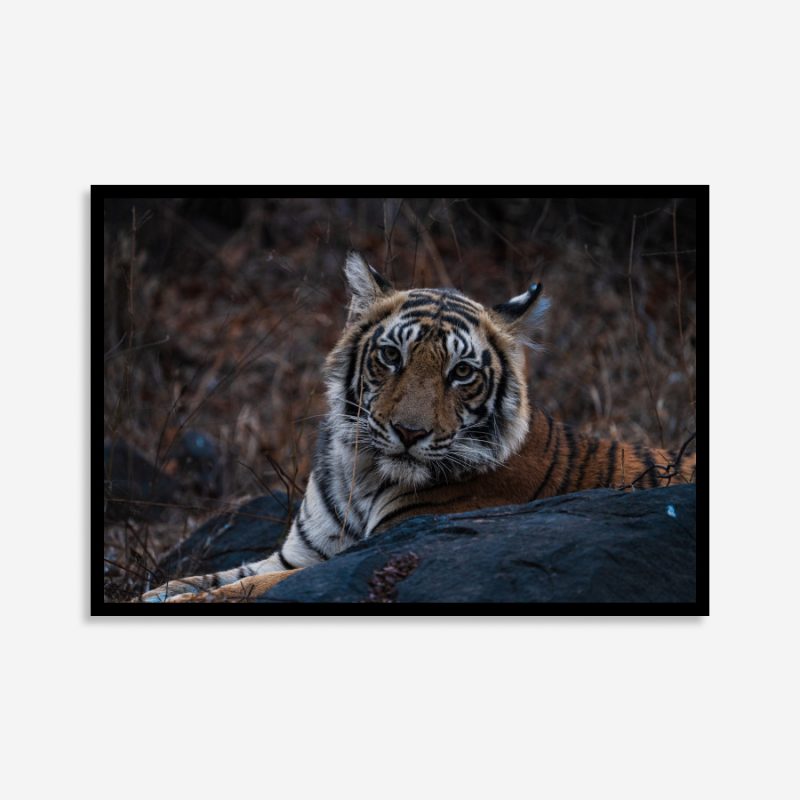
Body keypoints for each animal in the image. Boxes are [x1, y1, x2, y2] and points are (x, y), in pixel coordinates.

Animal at [141, 252, 696, 602]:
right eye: (391, 356)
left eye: (462, 373)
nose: (409, 433)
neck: (360, 474)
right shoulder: (298, 556)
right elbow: (207, 577)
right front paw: (158, 590)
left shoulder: (370, 552)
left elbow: (237, 591)